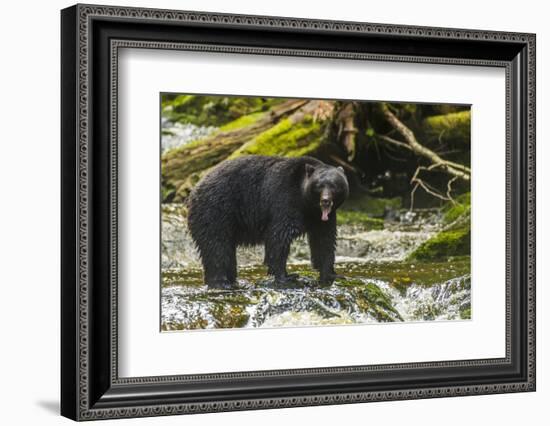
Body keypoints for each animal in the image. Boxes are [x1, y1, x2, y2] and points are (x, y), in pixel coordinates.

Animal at [188, 155, 348, 288]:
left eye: (334, 185)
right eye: (319, 185)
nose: (326, 200)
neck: (307, 204)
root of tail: (194, 191)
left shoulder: (322, 219)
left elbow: (324, 241)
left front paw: (331, 274)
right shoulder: (284, 199)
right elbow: (279, 237)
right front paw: (286, 277)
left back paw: (230, 280)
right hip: (216, 212)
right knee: (216, 246)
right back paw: (221, 282)